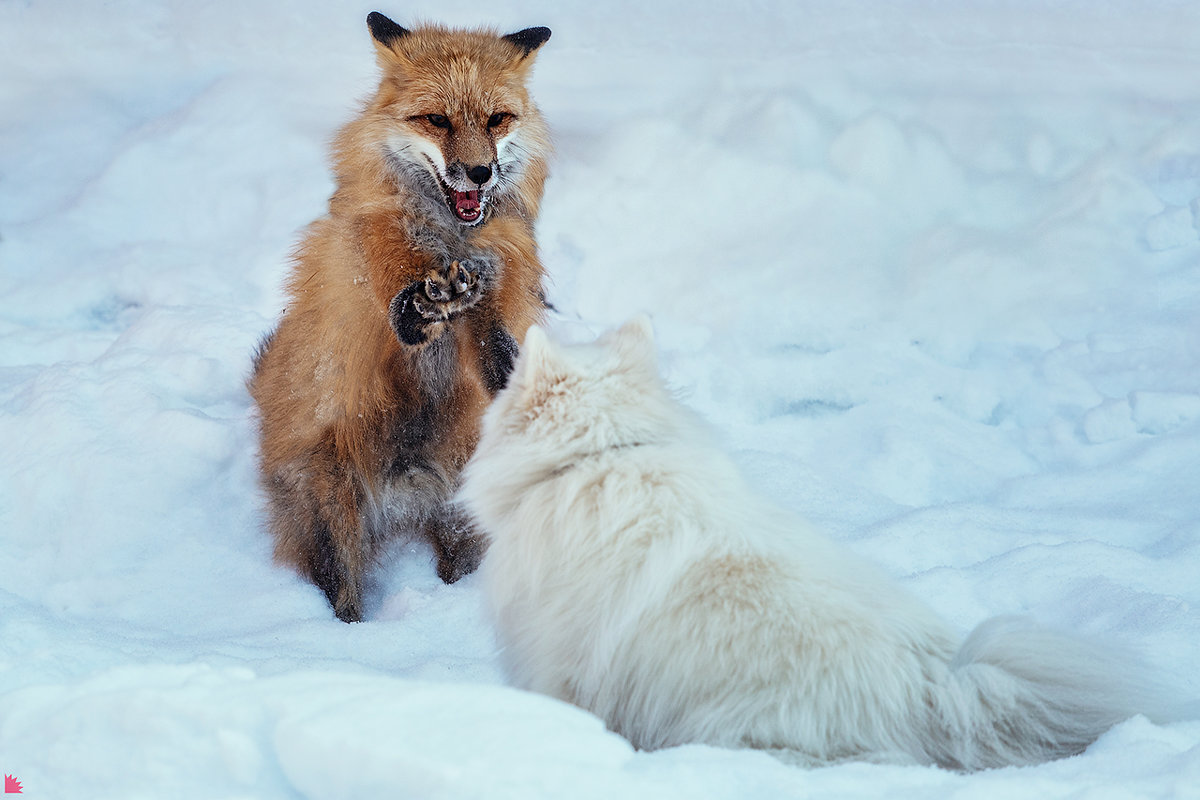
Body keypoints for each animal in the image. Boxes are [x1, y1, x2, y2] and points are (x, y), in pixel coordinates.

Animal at [255, 14, 554, 623]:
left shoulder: (496, 295)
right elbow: (402, 308)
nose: (479, 172)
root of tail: (408, 487)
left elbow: (496, 350)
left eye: (497, 119)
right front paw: (419, 308)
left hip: (464, 507)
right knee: (340, 590)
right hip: (333, 506)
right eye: (437, 120)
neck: (452, 243)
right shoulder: (379, 260)